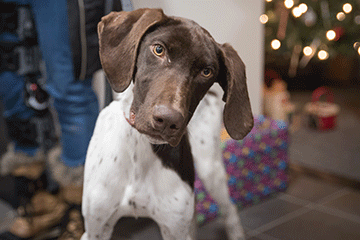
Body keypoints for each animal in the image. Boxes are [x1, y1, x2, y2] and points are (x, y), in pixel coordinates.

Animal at [81, 8, 253, 239]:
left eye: (206, 71)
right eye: (158, 50)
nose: (168, 120)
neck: (140, 149)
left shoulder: (173, 228)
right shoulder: (96, 229)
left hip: (210, 169)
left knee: (230, 210)